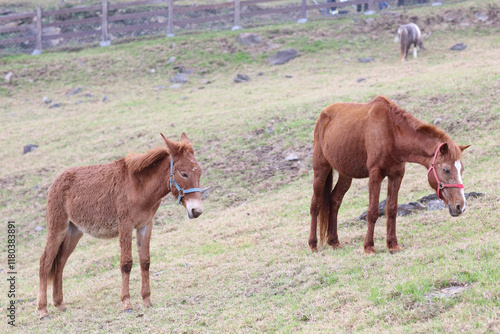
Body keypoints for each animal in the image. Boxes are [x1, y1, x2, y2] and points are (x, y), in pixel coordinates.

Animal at [36, 132, 203, 318]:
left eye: (199, 173)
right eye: (184, 174)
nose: (197, 211)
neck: (139, 187)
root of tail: (57, 179)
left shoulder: (145, 225)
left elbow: (145, 261)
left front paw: (147, 301)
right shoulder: (125, 225)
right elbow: (126, 263)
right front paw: (127, 303)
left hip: (74, 231)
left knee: (60, 262)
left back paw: (60, 304)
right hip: (57, 228)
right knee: (45, 262)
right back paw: (43, 310)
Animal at [308, 97, 468, 256]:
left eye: (462, 169)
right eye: (446, 169)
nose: (460, 206)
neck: (392, 134)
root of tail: (323, 114)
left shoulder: (396, 175)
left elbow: (391, 210)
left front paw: (393, 244)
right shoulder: (375, 175)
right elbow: (372, 212)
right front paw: (369, 247)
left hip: (345, 174)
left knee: (334, 201)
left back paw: (334, 241)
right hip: (321, 170)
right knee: (315, 205)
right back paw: (313, 244)